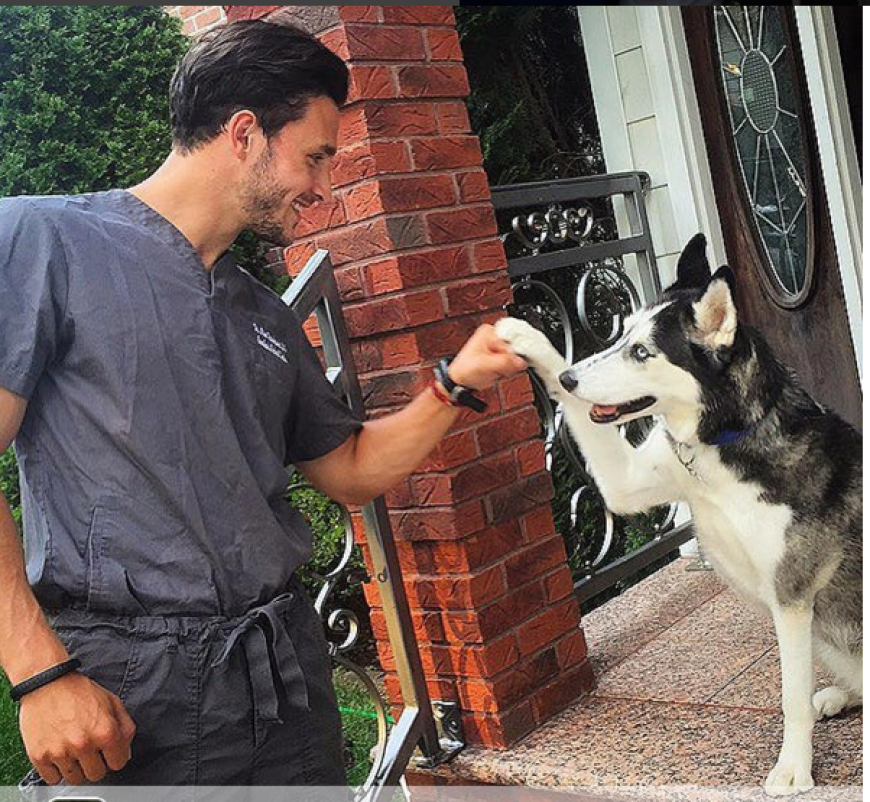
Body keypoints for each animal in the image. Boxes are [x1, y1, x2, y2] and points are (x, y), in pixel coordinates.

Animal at [498, 233, 864, 792]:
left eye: (642, 352)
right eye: (621, 334)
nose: (570, 375)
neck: (726, 441)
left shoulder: (792, 598)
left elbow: (790, 697)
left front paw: (793, 768)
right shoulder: (627, 483)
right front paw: (525, 334)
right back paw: (840, 695)